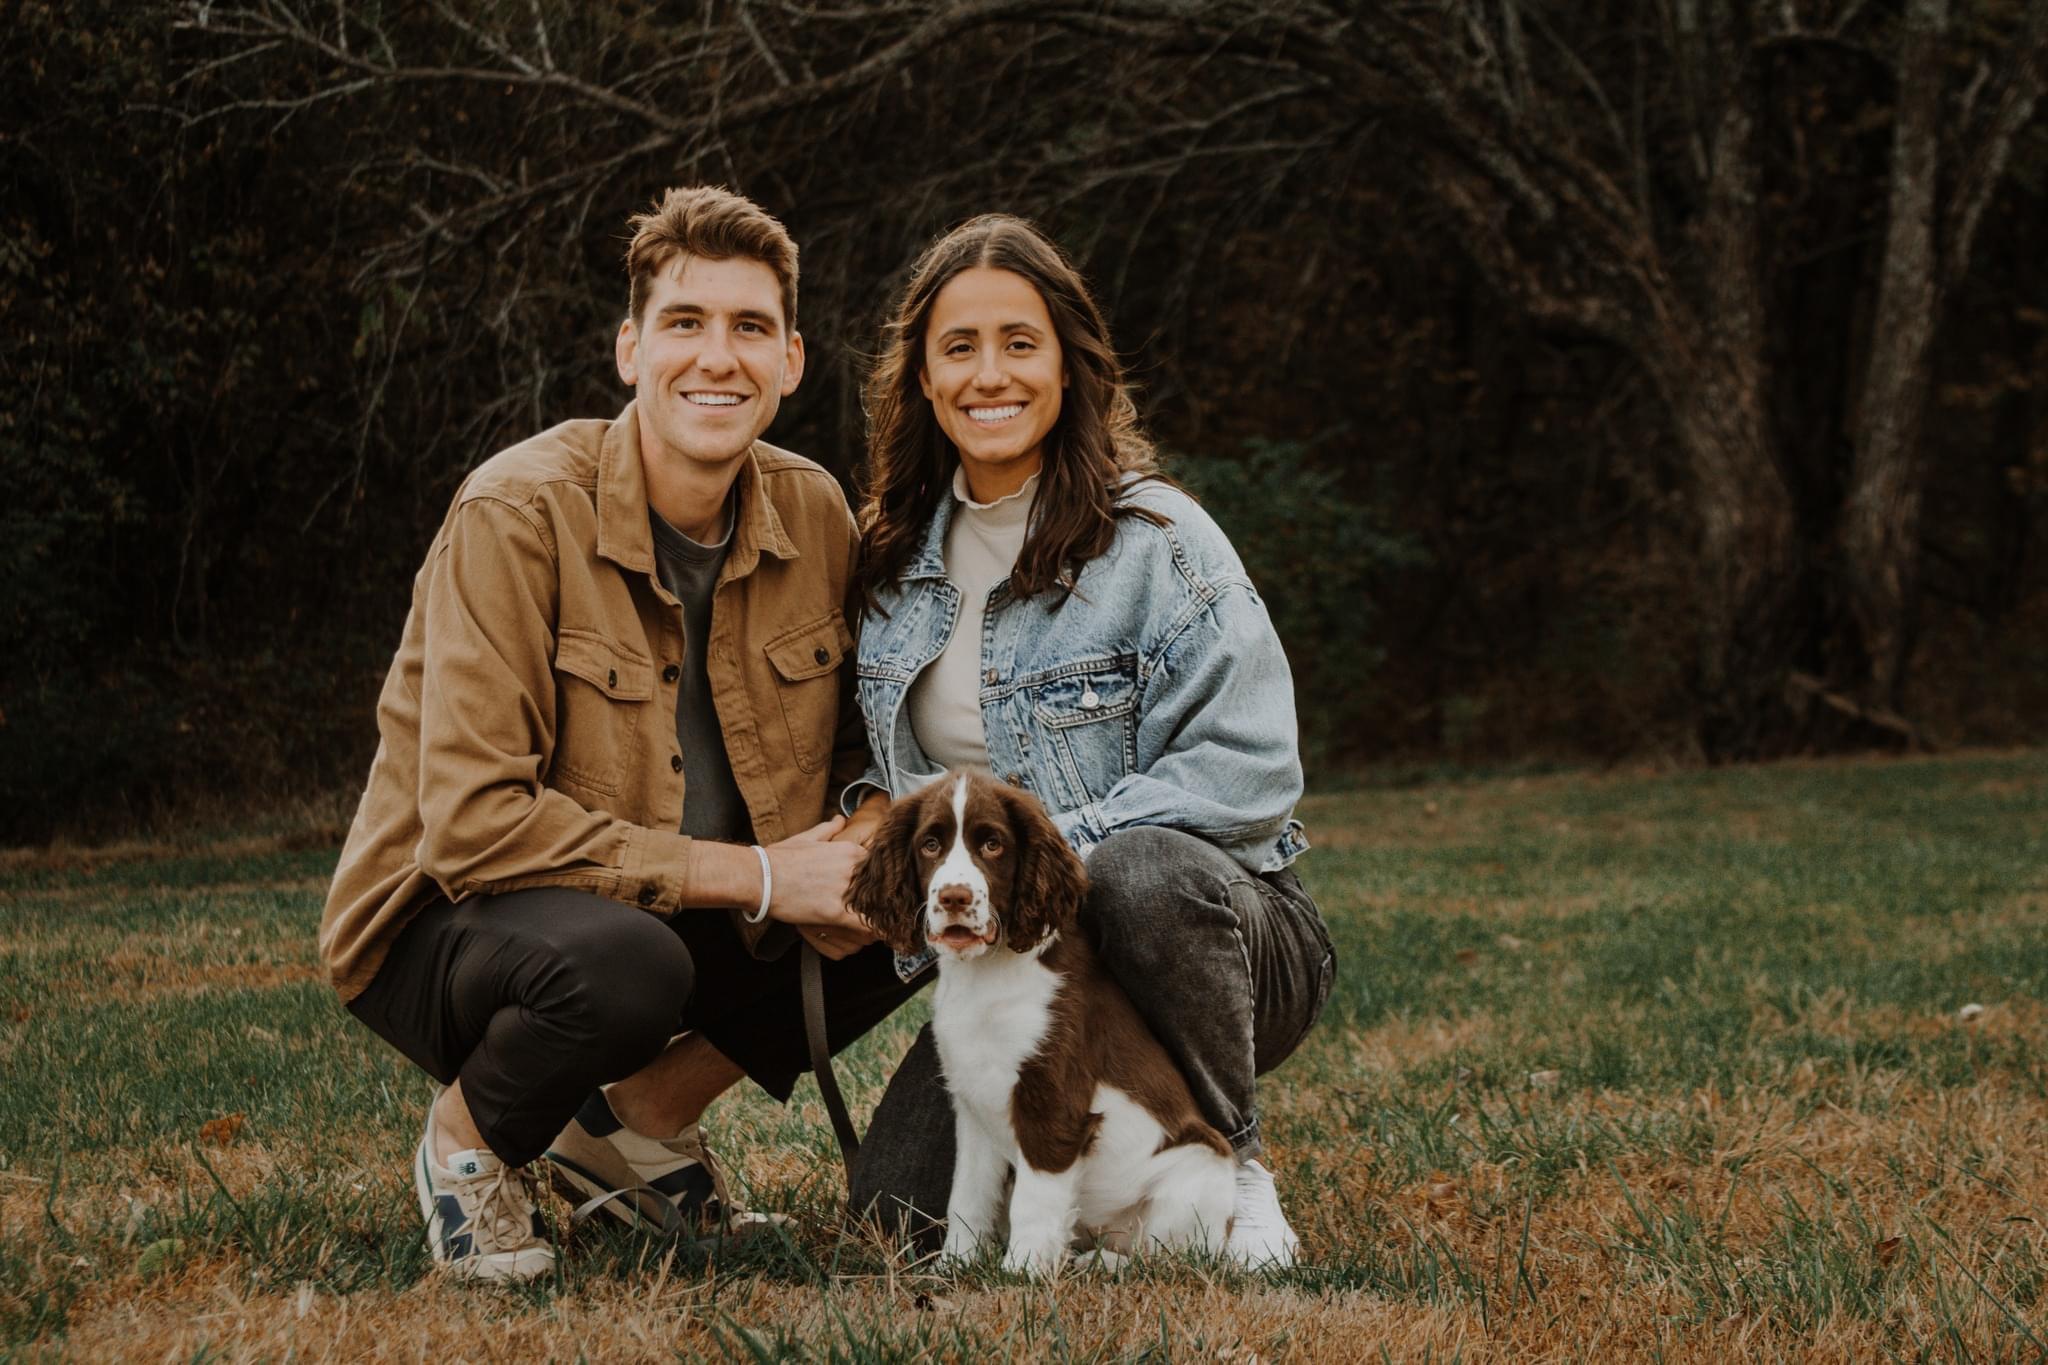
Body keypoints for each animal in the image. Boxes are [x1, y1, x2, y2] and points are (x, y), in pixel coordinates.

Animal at [847, 770, 1234, 1276]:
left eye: (992, 845)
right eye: (930, 845)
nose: (954, 898)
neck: (986, 975)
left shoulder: (1052, 1100)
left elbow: (1034, 1199)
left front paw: (1023, 1274)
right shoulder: (971, 1107)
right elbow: (967, 1195)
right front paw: (955, 1266)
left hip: (1194, 1172)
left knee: (1168, 1257)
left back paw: (1097, 1264)